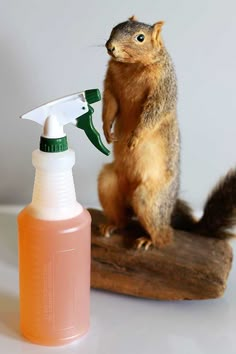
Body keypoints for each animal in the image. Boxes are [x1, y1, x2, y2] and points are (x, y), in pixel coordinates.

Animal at [97, 15, 235, 249]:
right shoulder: (110, 83)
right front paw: (107, 131)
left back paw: (149, 240)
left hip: (149, 199)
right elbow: (109, 106)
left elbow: (152, 115)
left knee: (165, 235)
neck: (131, 67)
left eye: (140, 38)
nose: (110, 46)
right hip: (109, 184)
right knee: (122, 219)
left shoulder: (162, 89)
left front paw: (134, 139)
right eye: (114, 27)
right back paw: (112, 225)